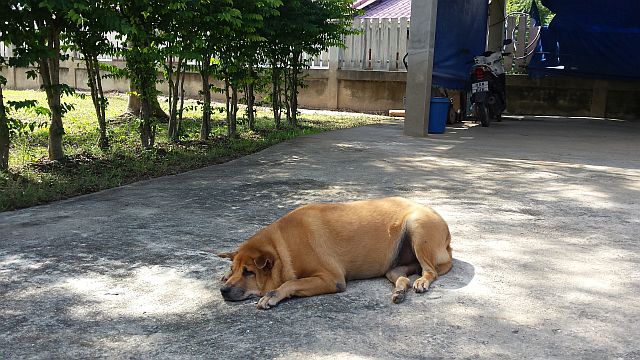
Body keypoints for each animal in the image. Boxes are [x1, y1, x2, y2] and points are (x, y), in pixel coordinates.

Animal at [218, 197, 452, 310]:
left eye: (249, 272)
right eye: (234, 268)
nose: (223, 291)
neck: (282, 248)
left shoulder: (331, 279)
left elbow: (291, 283)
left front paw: (272, 295)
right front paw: (224, 276)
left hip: (417, 227)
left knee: (431, 271)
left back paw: (422, 281)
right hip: (393, 268)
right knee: (402, 277)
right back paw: (400, 290)